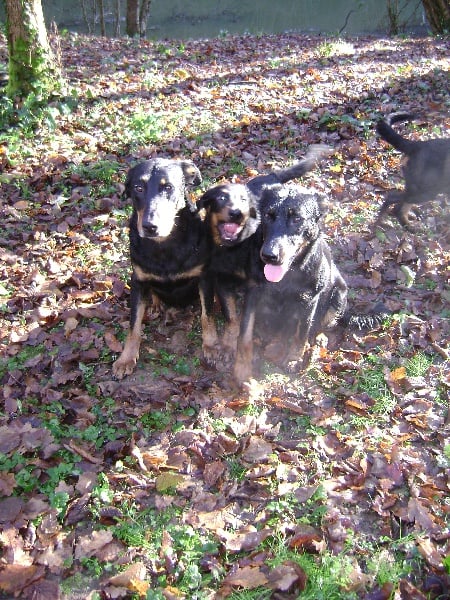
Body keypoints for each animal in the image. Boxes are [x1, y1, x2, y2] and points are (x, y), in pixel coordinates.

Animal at [112, 157, 206, 378]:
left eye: (168, 187)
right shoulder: (137, 281)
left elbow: (208, 316)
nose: (150, 226)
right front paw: (126, 358)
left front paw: (212, 346)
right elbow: (134, 326)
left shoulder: (203, 276)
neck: (164, 245)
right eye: (138, 188)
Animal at [234, 183, 384, 386]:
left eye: (297, 218)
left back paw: (319, 340)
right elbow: (245, 332)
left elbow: (301, 334)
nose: (269, 255)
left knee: (324, 327)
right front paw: (242, 367)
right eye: (267, 215)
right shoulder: (252, 293)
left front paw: (293, 359)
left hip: (338, 295)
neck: (286, 276)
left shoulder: (308, 301)